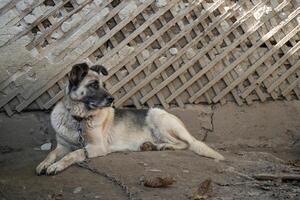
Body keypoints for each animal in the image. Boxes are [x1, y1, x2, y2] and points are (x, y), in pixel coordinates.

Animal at [35, 63, 224, 175]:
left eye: (104, 85)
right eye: (93, 85)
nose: (112, 99)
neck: (78, 119)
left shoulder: (96, 147)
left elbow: (74, 153)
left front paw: (57, 166)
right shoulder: (63, 145)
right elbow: (52, 153)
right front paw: (44, 163)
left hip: (158, 118)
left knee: (185, 143)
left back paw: (162, 146)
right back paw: (150, 146)